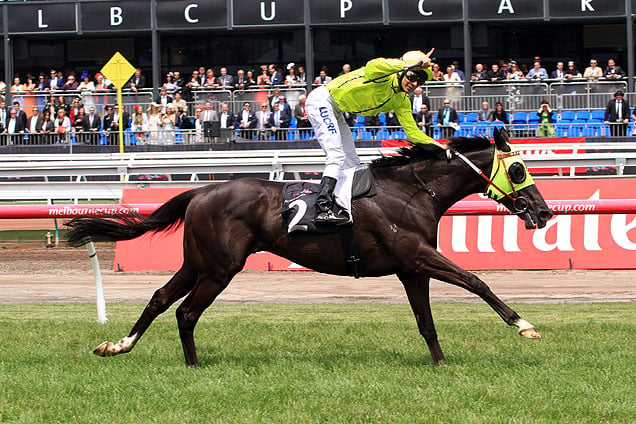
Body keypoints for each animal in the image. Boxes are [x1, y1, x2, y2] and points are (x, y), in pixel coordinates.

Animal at [66, 127, 552, 366]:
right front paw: (524, 325)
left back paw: (118, 346)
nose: (544, 212)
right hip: (220, 268)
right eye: (520, 169)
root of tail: (201, 191)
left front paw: (441, 364)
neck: (412, 191)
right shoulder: (418, 256)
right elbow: (475, 281)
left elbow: (426, 322)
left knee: (160, 298)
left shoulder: (411, 268)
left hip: (198, 261)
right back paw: (193, 366)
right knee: (185, 311)